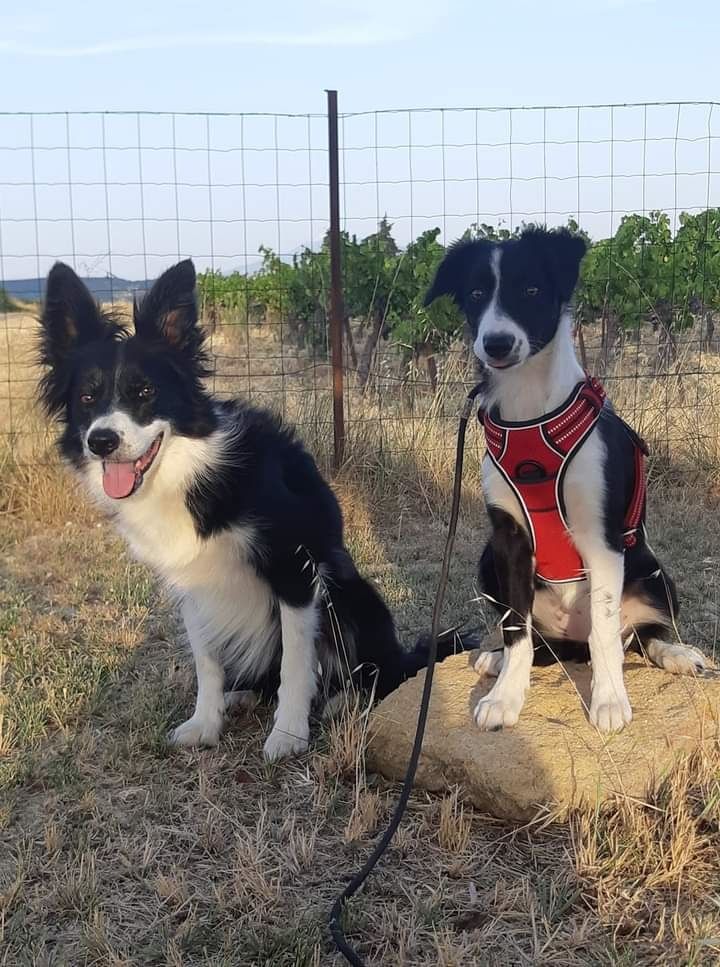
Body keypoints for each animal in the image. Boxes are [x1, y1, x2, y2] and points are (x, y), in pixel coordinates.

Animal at [38, 260, 462, 760]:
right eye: (87, 398)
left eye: (144, 392)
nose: (101, 441)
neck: (187, 470)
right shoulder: (192, 584)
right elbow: (206, 660)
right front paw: (206, 722)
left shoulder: (295, 570)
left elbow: (297, 663)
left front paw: (289, 734)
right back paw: (242, 696)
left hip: (353, 594)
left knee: (376, 672)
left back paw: (341, 700)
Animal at [424, 225, 704, 732]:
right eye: (476, 294)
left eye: (532, 290)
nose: (496, 343)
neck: (529, 413)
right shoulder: (509, 539)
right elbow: (516, 629)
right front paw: (505, 696)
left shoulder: (601, 538)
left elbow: (606, 634)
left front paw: (609, 701)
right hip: (487, 560)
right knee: (538, 644)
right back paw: (496, 659)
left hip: (654, 572)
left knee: (640, 635)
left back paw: (677, 654)